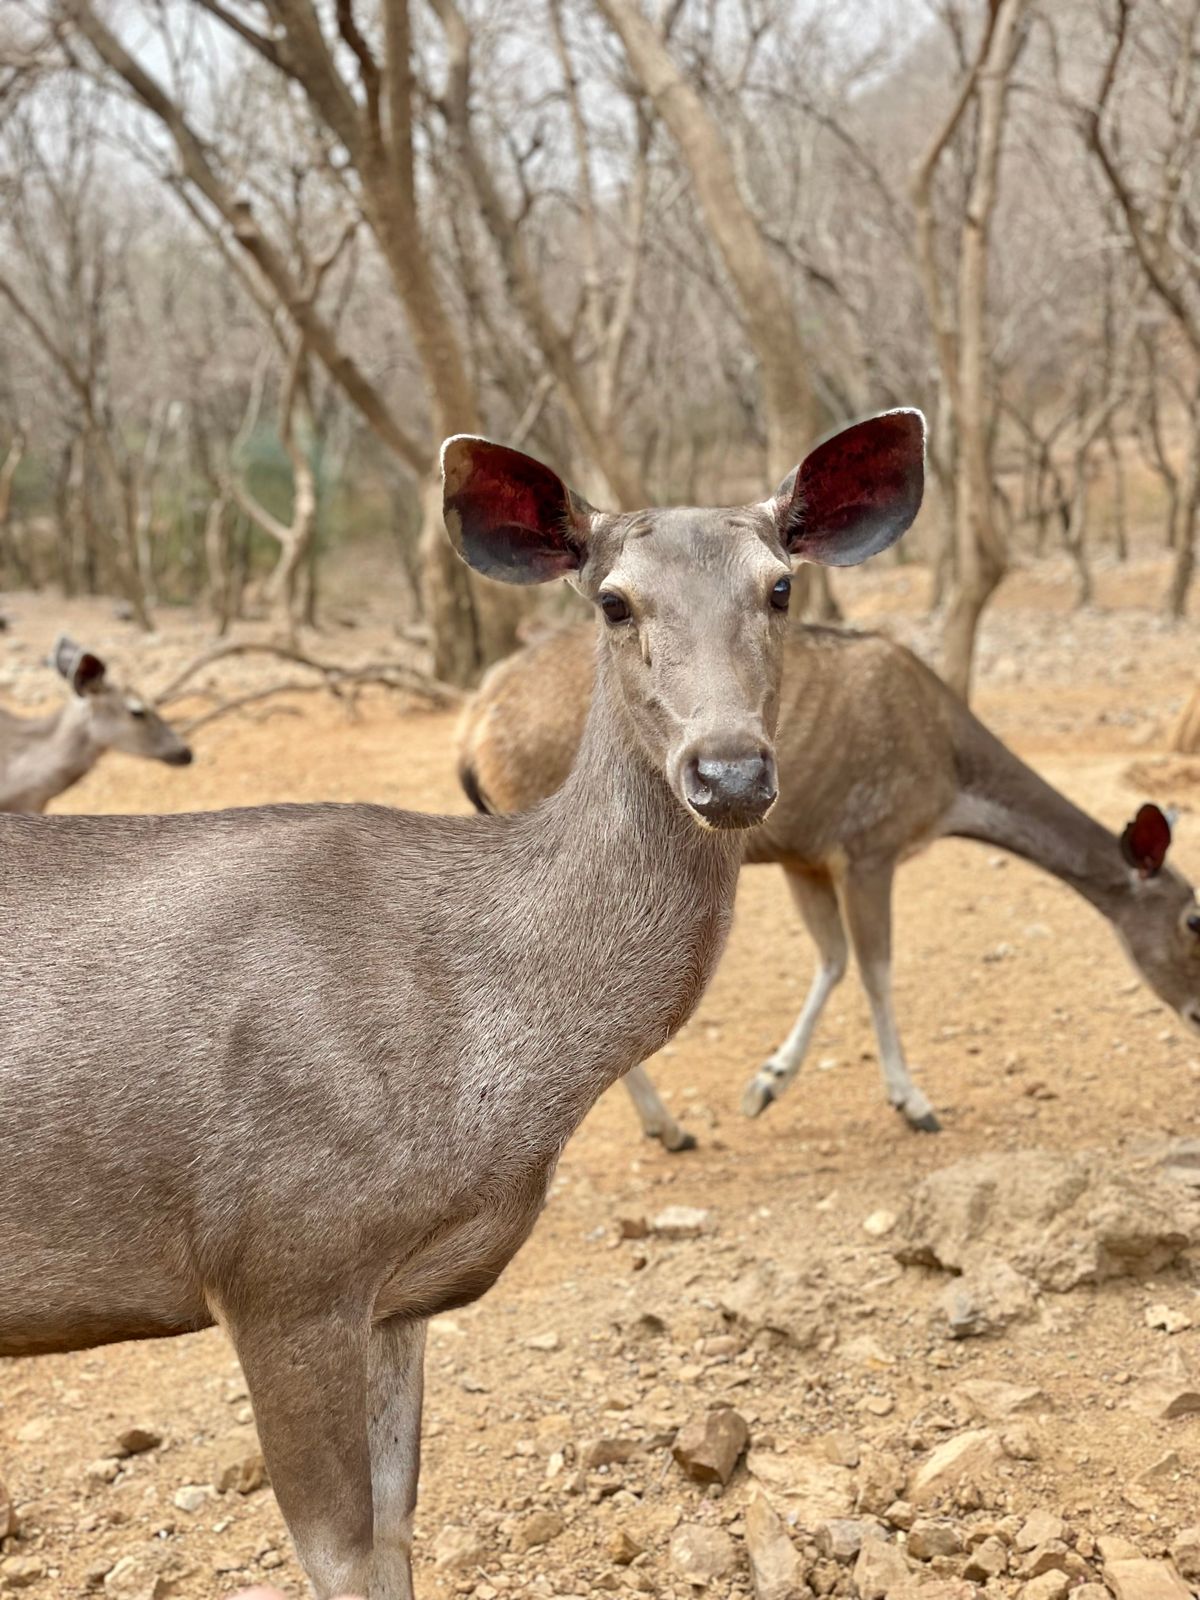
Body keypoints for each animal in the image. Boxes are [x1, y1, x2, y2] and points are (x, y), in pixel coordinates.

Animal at [458, 621, 1200, 1152]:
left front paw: (765, 1085)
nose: (1198, 1013)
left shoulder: (806, 855)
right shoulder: (869, 845)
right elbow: (876, 966)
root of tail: (474, 727)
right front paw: (914, 1103)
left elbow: (834, 958)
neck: (951, 780)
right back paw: (664, 1127)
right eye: (1194, 919)